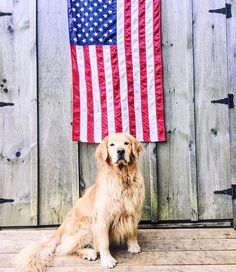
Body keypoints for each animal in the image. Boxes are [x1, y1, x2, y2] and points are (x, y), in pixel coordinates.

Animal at [16, 132, 145, 270]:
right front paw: (107, 260)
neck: (122, 178)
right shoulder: (101, 218)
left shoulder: (134, 211)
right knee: (62, 248)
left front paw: (133, 246)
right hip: (86, 224)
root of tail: (59, 230)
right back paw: (89, 253)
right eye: (112, 144)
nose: (120, 151)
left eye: (126, 143)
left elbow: (132, 231)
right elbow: (104, 242)